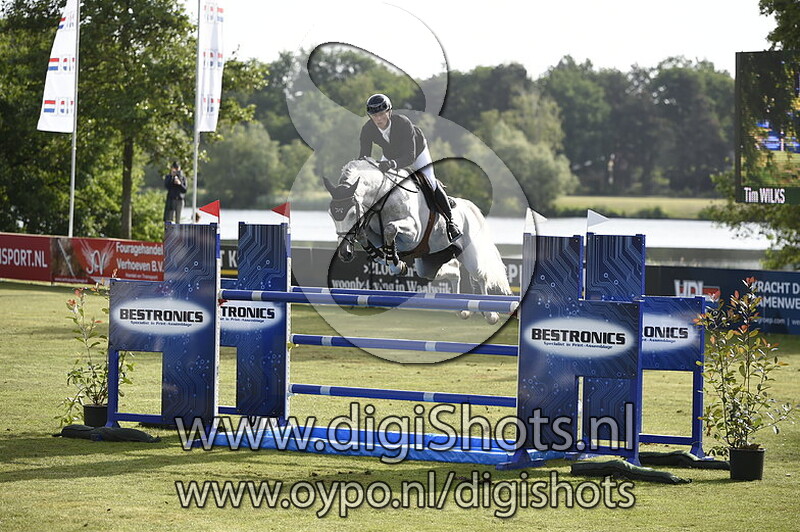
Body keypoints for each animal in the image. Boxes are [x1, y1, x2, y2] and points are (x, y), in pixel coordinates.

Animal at [323, 158, 512, 324]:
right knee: (453, 272)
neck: (383, 197)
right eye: (331, 214)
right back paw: (462, 310)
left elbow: (391, 229)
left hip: (470, 255)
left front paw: (396, 262)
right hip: (430, 262)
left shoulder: (413, 232)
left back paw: (490, 314)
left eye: (351, 214)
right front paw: (396, 263)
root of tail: (468, 206)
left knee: (481, 277)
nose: (345, 253)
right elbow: (368, 239)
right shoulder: (375, 235)